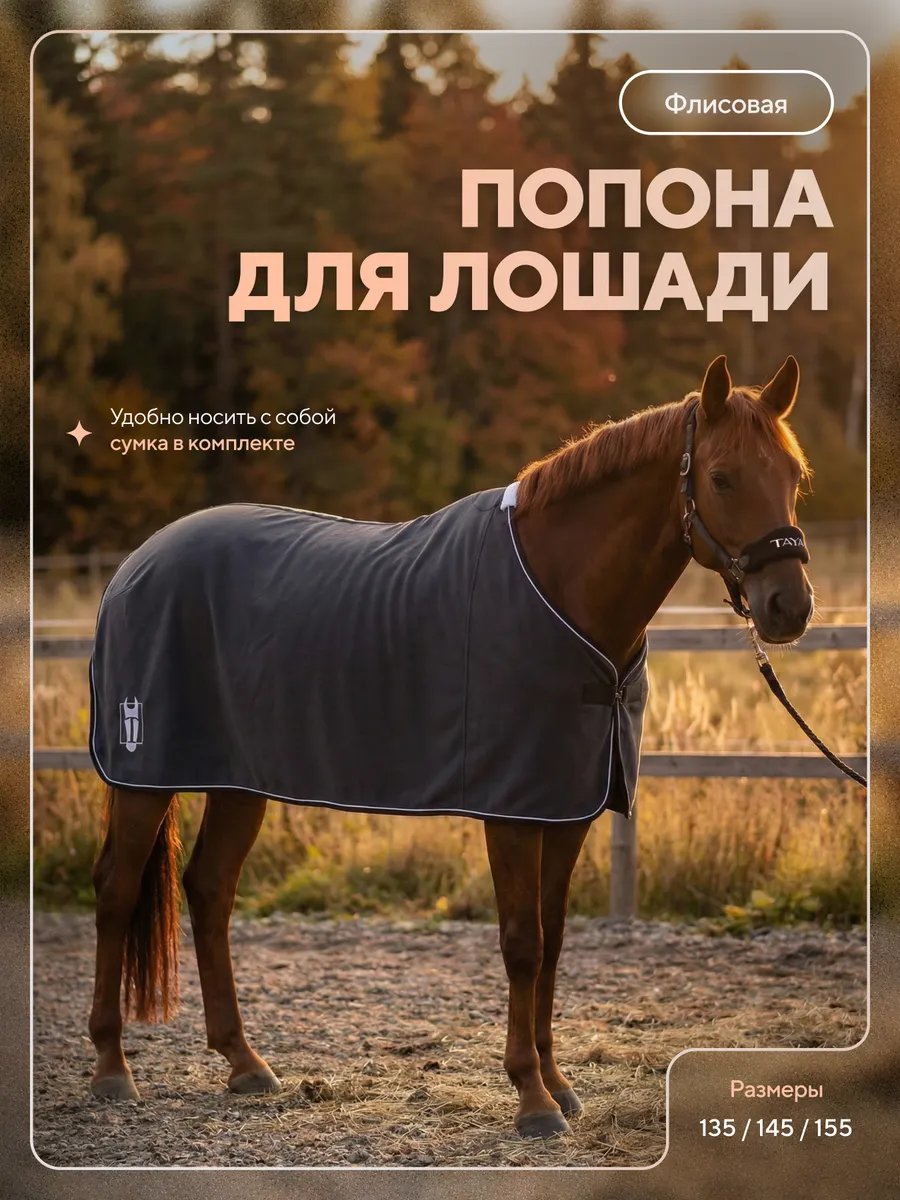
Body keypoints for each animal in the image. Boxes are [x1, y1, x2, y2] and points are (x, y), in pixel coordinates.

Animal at [87, 353, 814, 1140]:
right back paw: (112, 1069)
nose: (789, 607)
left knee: (210, 889)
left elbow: (554, 939)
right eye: (721, 477)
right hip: (143, 777)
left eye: (792, 476)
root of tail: (132, 568)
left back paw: (244, 1063)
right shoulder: (512, 809)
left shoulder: (568, 806)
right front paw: (531, 1098)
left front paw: (558, 1083)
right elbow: (523, 943)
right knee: (117, 892)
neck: (561, 588)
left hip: (238, 781)